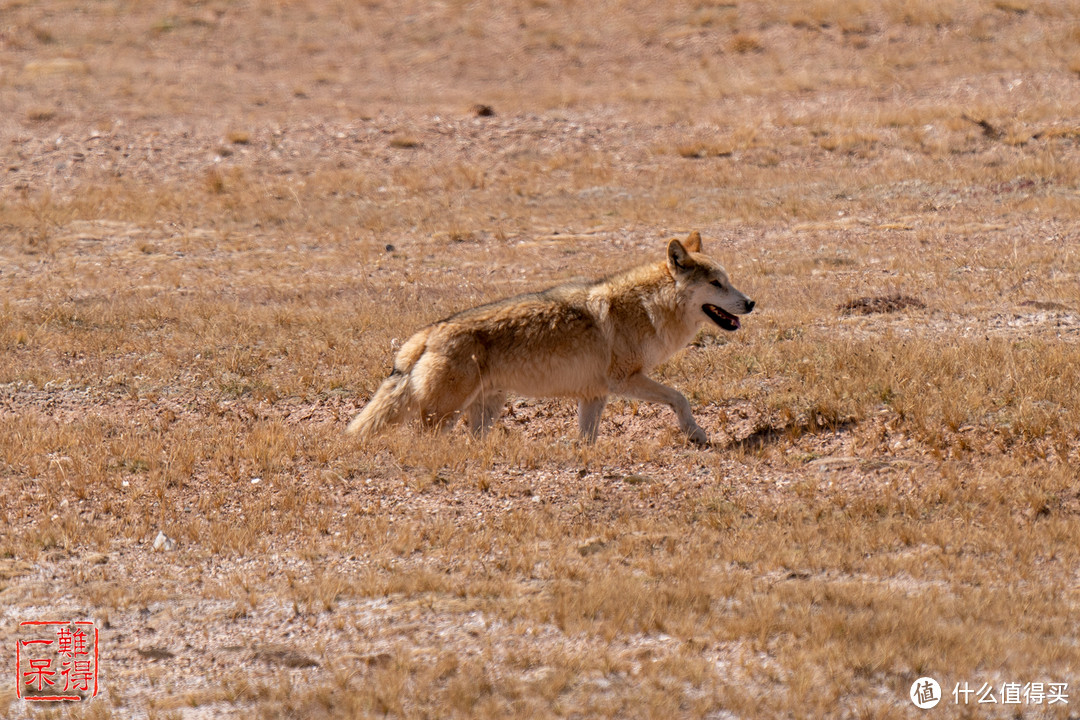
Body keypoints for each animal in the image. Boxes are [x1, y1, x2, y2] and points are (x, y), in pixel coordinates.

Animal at [349, 232, 756, 444]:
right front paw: (696, 433)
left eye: (728, 280)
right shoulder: (626, 381)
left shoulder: (595, 395)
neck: (646, 306)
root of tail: (429, 332)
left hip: (484, 410)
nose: (751, 302)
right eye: (716, 284)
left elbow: (587, 440)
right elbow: (680, 398)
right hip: (445, 416)